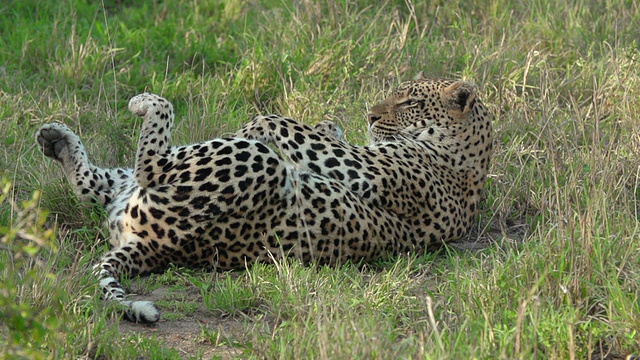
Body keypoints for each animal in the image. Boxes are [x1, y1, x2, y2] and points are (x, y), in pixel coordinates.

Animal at [35, 74, 492, 322]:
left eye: (410, 101)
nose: (370, 115)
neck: (467, 161)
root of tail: (150, 245)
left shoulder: (356, 164)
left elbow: (279, 120)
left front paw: (255, 123)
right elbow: (318, 130)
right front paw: (330, 123)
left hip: (250, 162)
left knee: (151, 161)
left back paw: (144, 103)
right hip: (132, 186)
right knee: (95, 183)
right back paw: (55, 139)